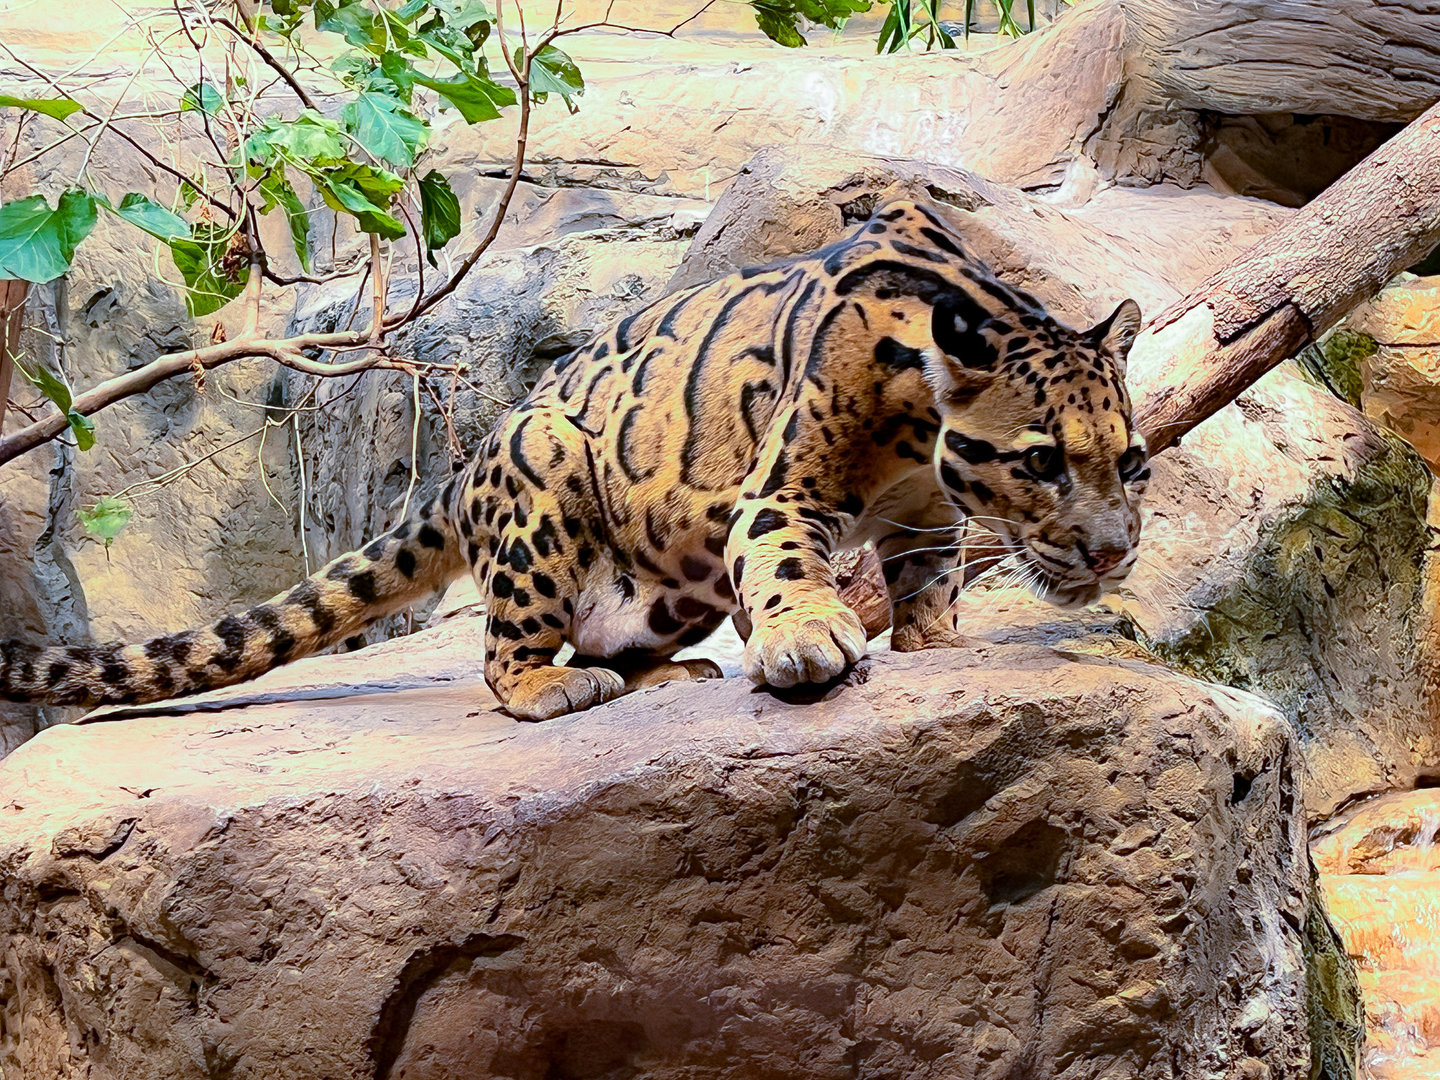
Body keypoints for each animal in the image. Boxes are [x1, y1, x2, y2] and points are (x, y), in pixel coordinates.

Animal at [1, 200, 1150, 722]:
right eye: (1042, 461)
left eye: (1133, 463)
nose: (1110, 554)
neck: (917, 433)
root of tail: (462, 473)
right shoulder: (783, 490)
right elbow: (788, 565)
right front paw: (809, 639)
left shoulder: (924, 512)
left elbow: (927, 580)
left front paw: (935, 642)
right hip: (544, 481)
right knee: (501, 653)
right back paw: (557, 684)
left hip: (670, 573)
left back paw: (666, 668)